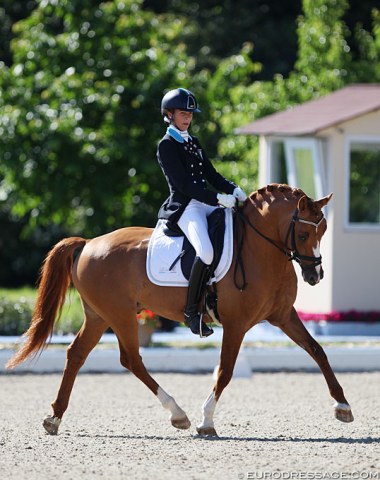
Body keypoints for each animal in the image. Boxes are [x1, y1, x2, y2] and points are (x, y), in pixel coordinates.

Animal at [7, 184, 354, 436]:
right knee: (131, 359)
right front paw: (206, 421)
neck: (261, 249)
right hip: (119, 315)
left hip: (99, 316)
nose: (315, 276)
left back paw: (54, 417)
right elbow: (226, 371)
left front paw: (343, 406)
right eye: (304, 233)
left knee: (77, 354)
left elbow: (317, 350)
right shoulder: (237, 324)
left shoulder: (283, 316)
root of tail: (88, 243)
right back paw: (178, 414)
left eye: (323, 231)